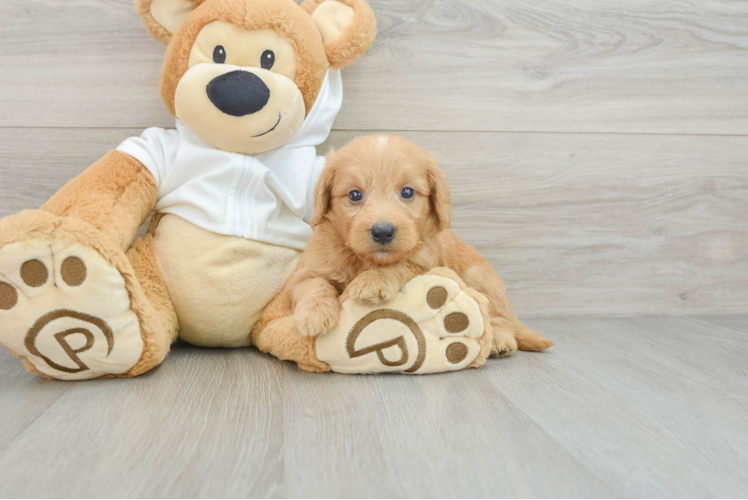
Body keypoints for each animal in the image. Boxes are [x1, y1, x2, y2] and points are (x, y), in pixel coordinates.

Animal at [254, 135, 552, 370]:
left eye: (407, 192)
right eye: (354, 195)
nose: (383, 232)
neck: (364, 259)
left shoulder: (424, 261)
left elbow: (400, 265)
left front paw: (373, 282)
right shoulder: (307, 270)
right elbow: (314, 284)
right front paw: (314, 315)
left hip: (479, 276)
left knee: (496, 316)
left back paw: (500, 341)